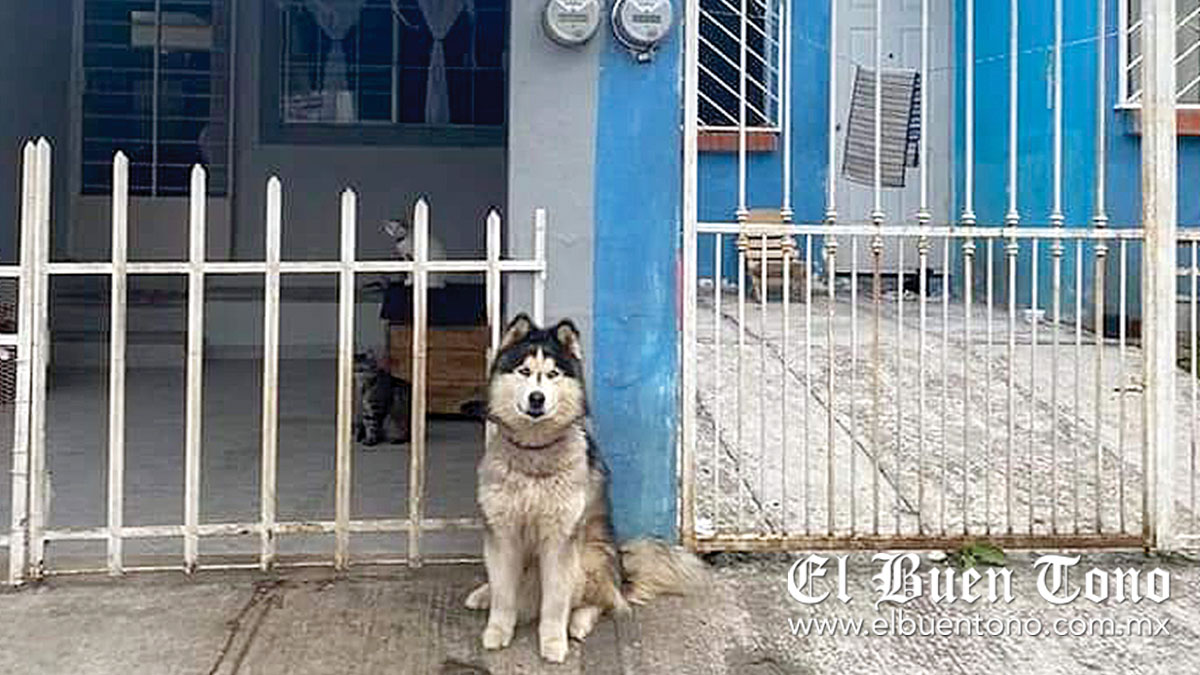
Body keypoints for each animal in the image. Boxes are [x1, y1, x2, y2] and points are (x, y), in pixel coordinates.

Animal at [465, 314, 708, 662]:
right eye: (524, 371)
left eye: (552, 374)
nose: (537, 397)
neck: (534, 452)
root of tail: (621, 575)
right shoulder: (502, 534)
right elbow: (503, 595)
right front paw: (497, 630)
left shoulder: (560, 540)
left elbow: (555, 602)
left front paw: (553, 643)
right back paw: (483, 594)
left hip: (589, 557)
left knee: (603, 603)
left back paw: (578, 623)